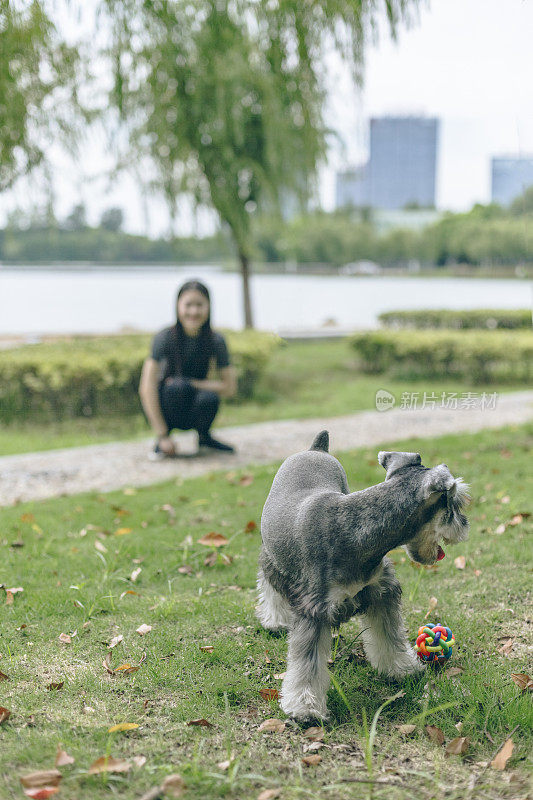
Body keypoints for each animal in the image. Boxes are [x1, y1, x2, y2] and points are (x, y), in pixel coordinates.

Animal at [254, 432, 466, 720]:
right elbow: (307, 665)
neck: (353, 528)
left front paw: (402, 669)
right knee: (269, 583)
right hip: (273, 556)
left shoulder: (382, 592)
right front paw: (305, 707)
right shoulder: (313, 610)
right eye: (456, 502)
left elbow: (390, 638)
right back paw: (275, 621)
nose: (464, 525)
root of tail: (315, 449)